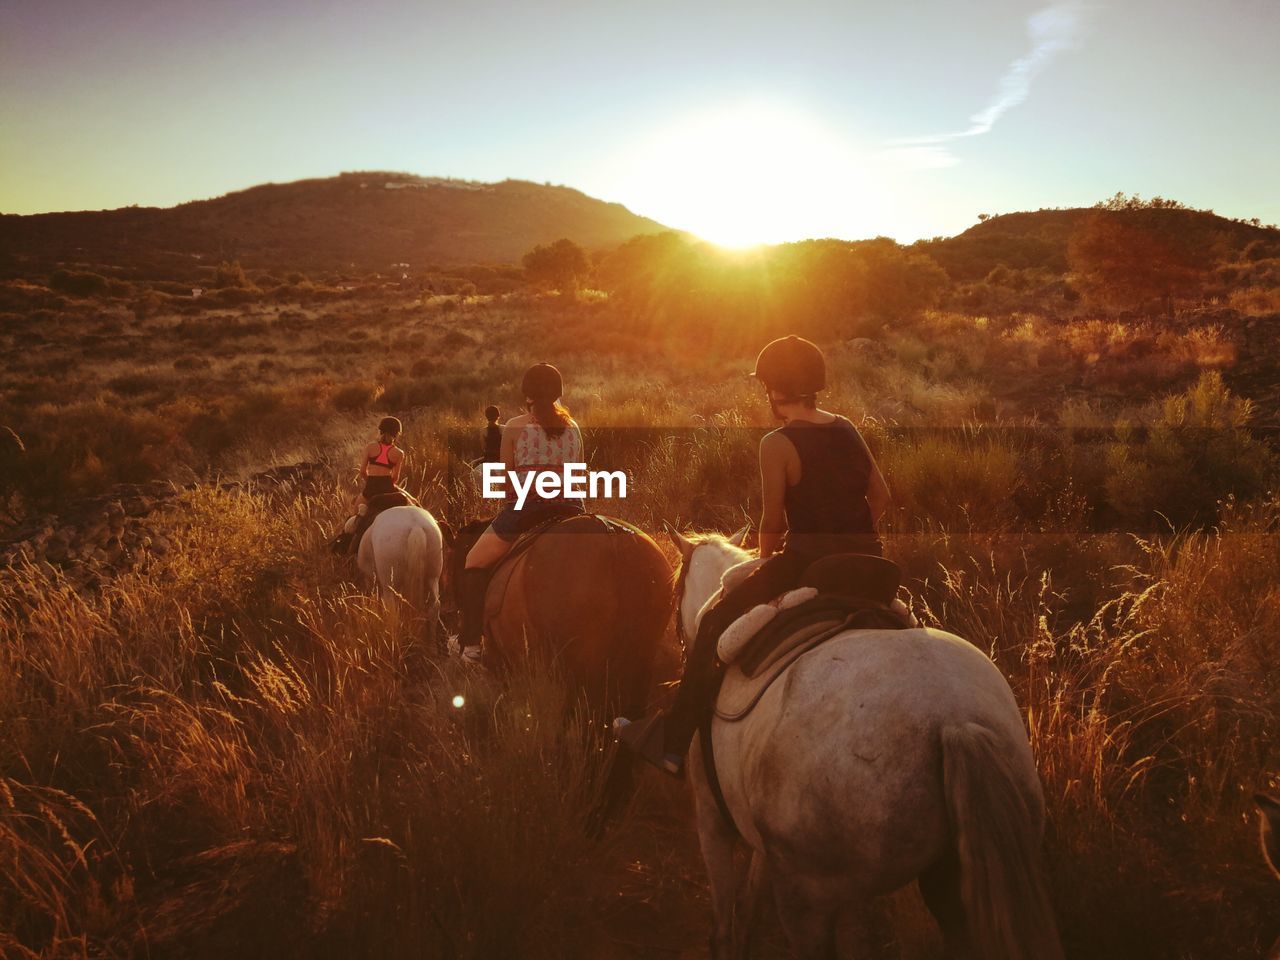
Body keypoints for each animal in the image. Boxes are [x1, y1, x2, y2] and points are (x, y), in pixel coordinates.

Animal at [665, 529, 1064, 960]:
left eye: (675, 589)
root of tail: (956, 720)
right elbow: (752, 902)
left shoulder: (713, 820)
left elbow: (724, 922)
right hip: (949, 878)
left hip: (806, 897)